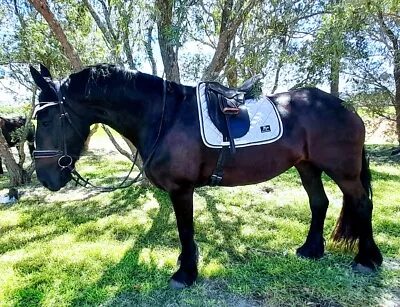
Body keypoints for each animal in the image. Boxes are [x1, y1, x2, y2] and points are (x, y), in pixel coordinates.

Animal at [30, 63, 382, 290]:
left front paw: (185, 274)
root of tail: (347, 107)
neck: (164, 117)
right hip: (307, 166)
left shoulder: (181, 189)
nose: (46, 179)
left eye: (46, 120)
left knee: (362, 204)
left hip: (342, 170)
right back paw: (310, 251)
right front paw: (185, 264)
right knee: (319, 203)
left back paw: (368, 260)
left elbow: (185, 229)